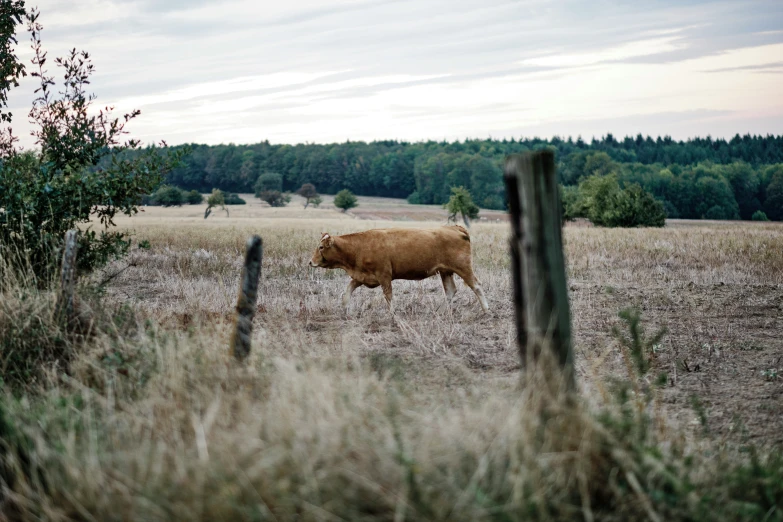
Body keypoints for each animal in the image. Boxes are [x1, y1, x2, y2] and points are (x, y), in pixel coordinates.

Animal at [308, 224, 486, 312]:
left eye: (321, 247)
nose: (310, 262)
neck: (360, 247)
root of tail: (454, 227)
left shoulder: (384, 276)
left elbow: (389, 296)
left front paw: (392, 313)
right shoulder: (362, 277)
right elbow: (348, 290)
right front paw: (345, 308)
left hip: (463, 267)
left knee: (476, 286)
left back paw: (486, 309)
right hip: (445, 271)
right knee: (450, 291)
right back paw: (442, 311)